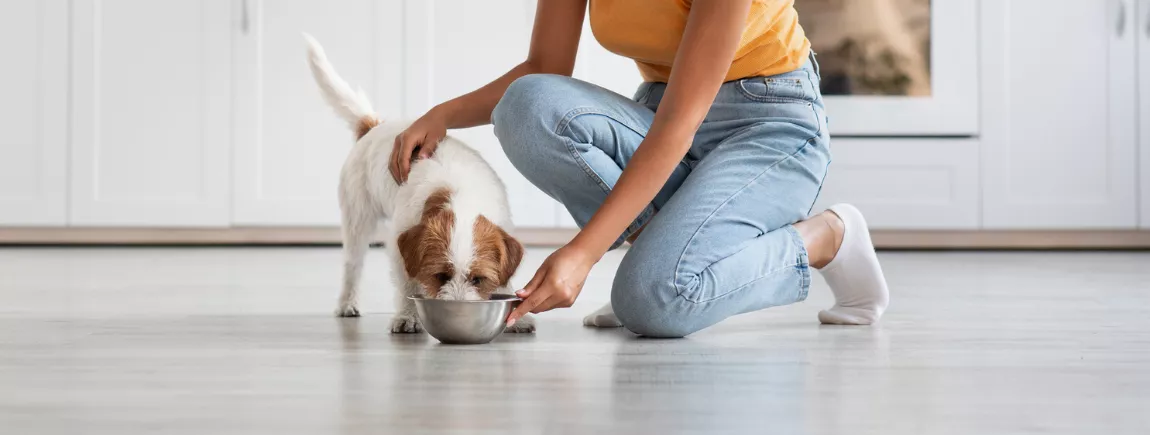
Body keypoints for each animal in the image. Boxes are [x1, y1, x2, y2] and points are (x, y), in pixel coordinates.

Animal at [308, 34, 535, 333]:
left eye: (478, 279)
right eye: (440, 275)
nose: (460, 311)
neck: (461, 195)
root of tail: (374, 126)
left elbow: (505, 277)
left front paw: (516, 317)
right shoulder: (400, 246)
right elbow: (407, 284)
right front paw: (407, 316)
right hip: (357, 219)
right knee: (352, 265)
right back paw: (347, 303)